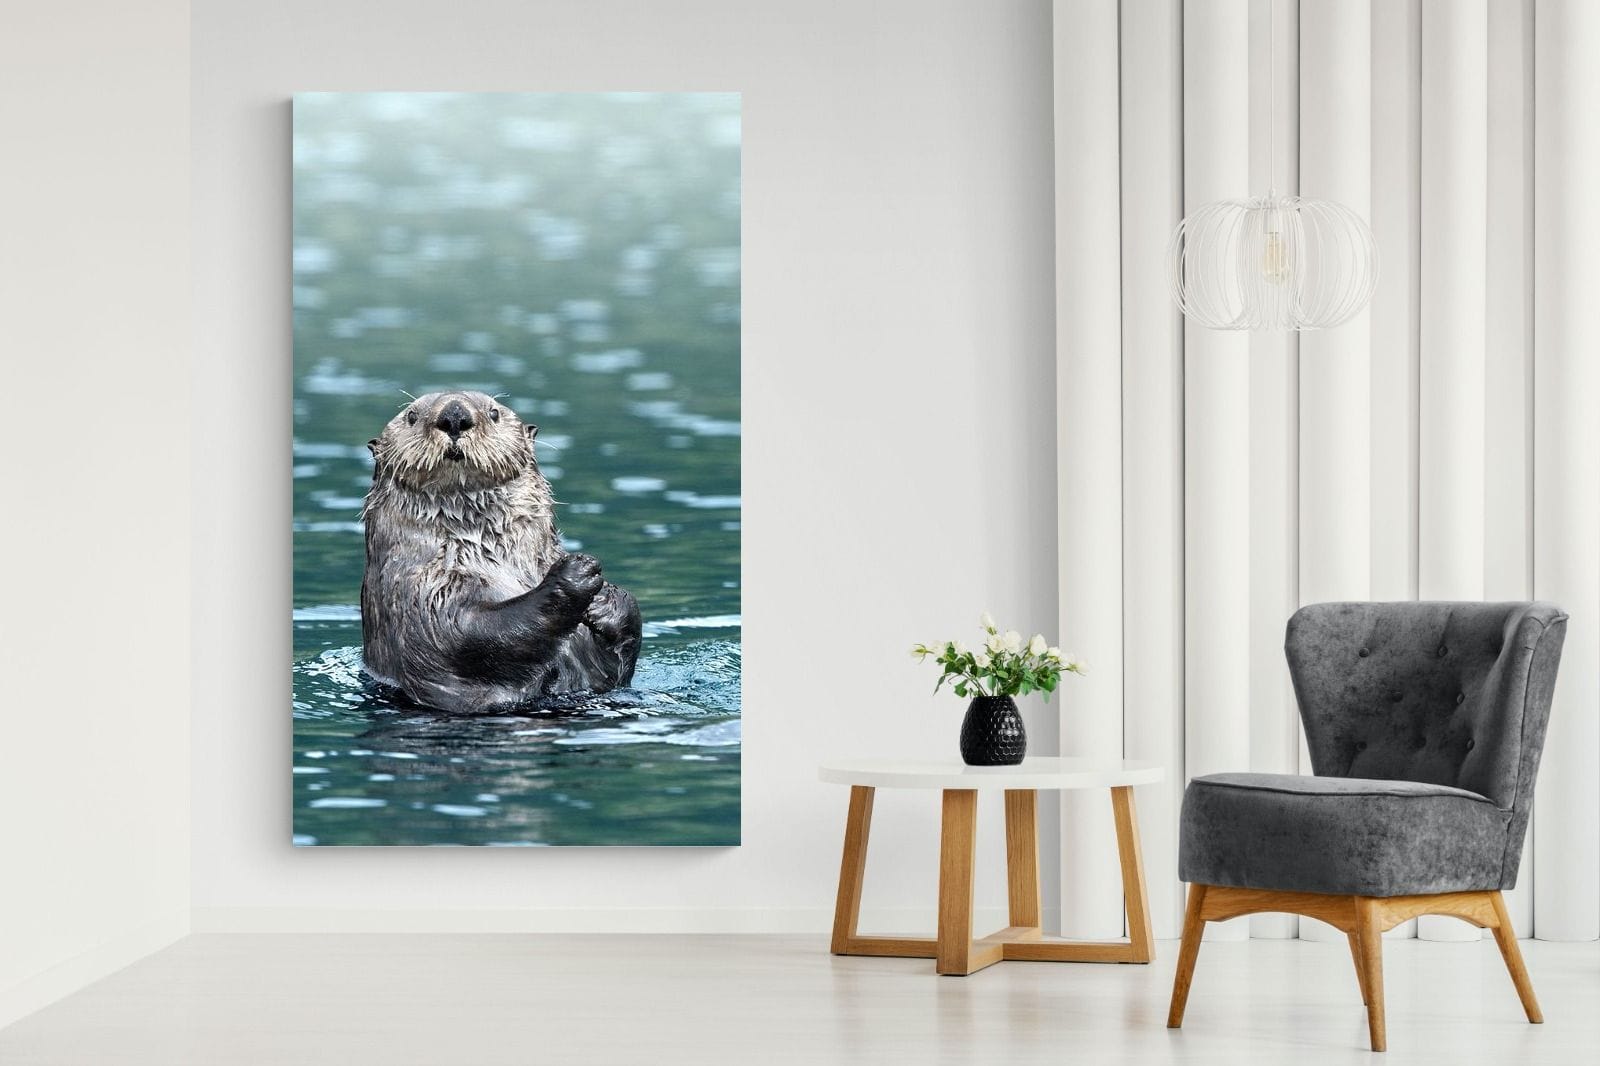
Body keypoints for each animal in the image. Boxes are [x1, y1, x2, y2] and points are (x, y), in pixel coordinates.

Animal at [360, 390, 642, 713]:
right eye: (411, 416)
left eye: (493, 413)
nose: (454, 415)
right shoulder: (420, 592)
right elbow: (467, 633)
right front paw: (575, 573)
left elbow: (614, 670)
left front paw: (606, 599)